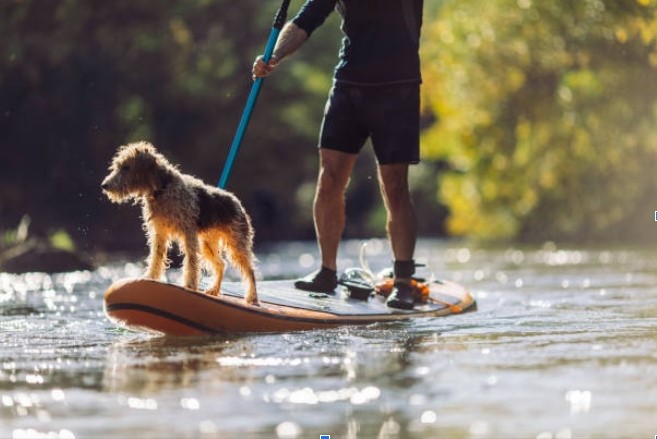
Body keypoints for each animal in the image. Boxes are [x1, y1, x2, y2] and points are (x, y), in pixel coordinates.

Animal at [101, 142, 258, 306]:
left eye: (126, 167)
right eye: (117, 166)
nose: (104, 185)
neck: (162, 188)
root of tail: (236, 202)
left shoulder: (188, 233)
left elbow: (191, 261)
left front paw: (190, 285)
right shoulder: (159, 233)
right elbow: (156, 257)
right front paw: (150, 276)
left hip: (236, 245)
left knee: (250, 271)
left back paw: (252, 298)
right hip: (207, 244)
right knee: (221, 264)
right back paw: (214, 290)